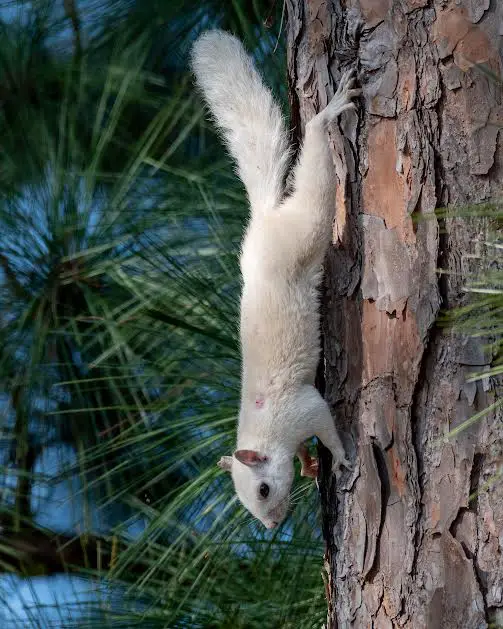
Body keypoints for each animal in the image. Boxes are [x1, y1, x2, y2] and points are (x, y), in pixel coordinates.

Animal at [191, 31, 360, 528]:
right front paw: (308, 465)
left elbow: (327, 424)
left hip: (305, 231)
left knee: (317, 178)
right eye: (248, 502)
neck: (265, 432)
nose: (272, 524)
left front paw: (341, 459)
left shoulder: (301, 409)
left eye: (263, 489)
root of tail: (265, 218)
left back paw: (328, 113)